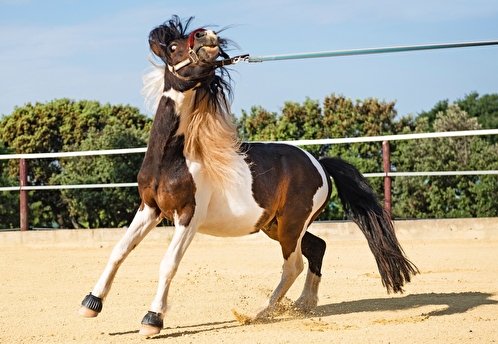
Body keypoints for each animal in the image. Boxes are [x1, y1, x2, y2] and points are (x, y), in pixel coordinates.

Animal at [77, 15, 420, 336]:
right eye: (173, 47)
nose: (205, 35)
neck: (173, 159)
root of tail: (319, 164)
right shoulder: (150, 208)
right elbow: (119, 251)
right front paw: (91, 304)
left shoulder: (188, 215)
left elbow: (168, 264)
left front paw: (152, 319)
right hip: (277, 226)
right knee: (317, 248)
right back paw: (302, 305)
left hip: (290, 226)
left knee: (293, 265)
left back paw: (261, 312)